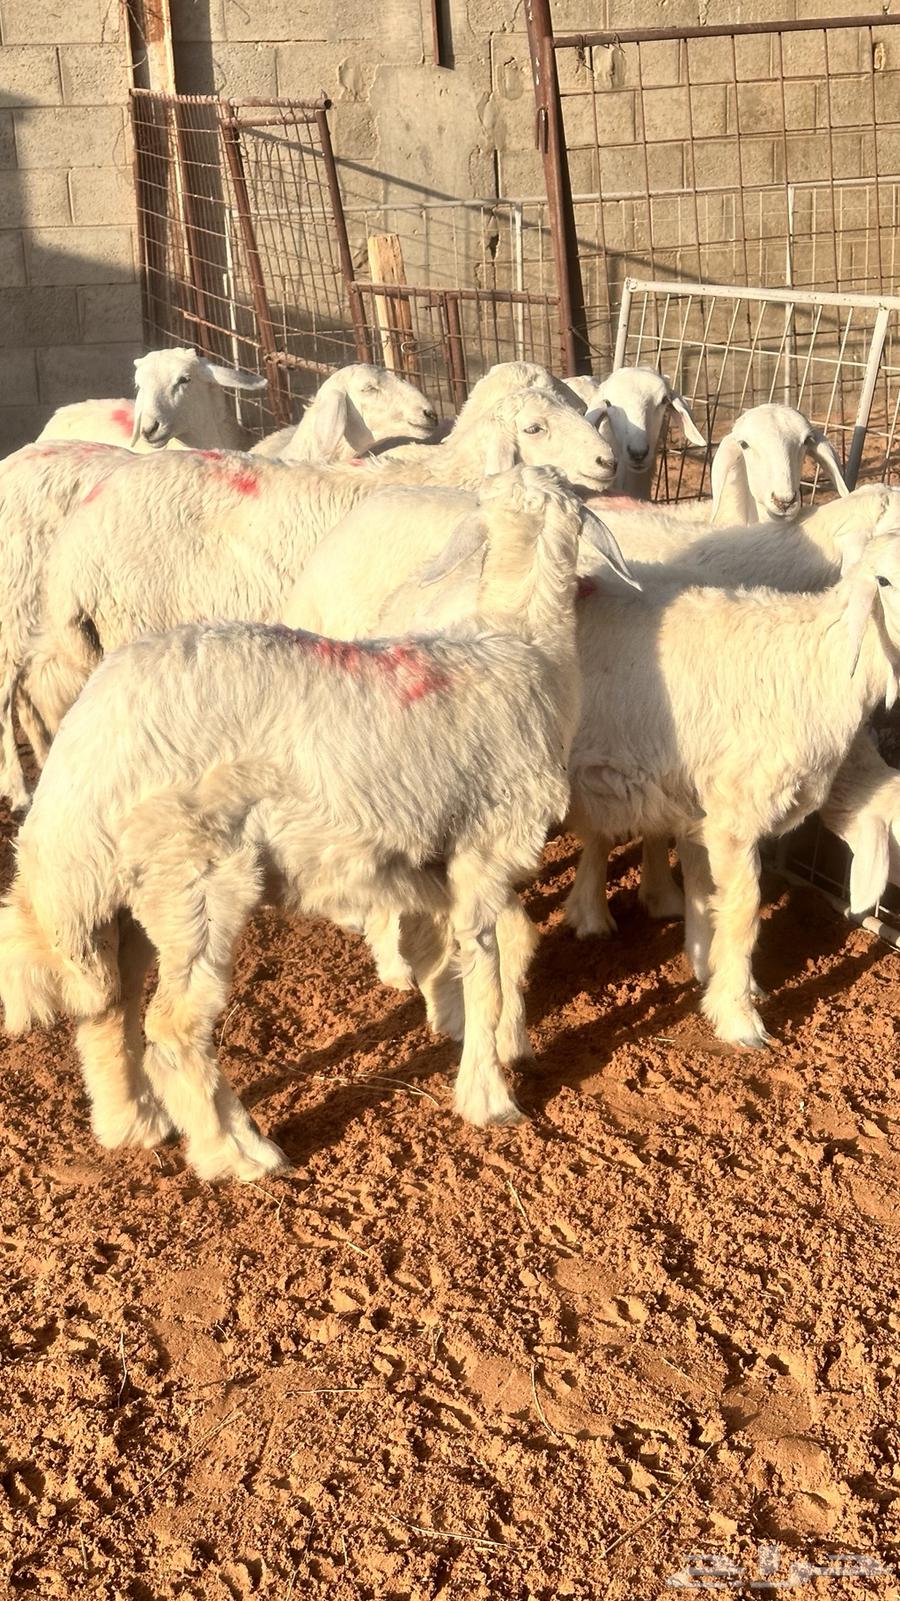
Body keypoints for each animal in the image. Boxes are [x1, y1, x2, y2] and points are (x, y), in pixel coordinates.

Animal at [0, 466, 631, 1179]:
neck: (519, 645)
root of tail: (80, 755)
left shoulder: (428, 861)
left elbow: (450, 950)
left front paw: (453, 1021)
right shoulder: (485, 851)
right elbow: (487, 967)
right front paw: (489, 1093)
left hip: (119, 891)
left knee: (109, 1007)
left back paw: (133, 1125)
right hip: (193, 877)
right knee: (174, 1028)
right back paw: (239, 1153)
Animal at [563, 531, 900, 1048]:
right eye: (883, 581)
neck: (816, 666)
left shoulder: (696, 801)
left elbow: (706, 892)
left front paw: (709, 966)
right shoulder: (734, 815)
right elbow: (742, 910)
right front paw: (739, 1016)